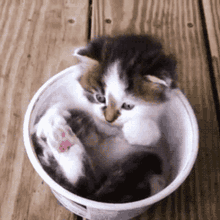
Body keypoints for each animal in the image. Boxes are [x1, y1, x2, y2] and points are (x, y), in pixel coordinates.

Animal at [32, 34, 177, 203]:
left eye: (128, 106)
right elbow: (59, 105)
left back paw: (65, 142)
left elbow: (150, 133)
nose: (109, 119)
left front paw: (134, 130)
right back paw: (62, 140)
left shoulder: (158, 143)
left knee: (86, 188)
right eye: (100, 98)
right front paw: (49, 119)